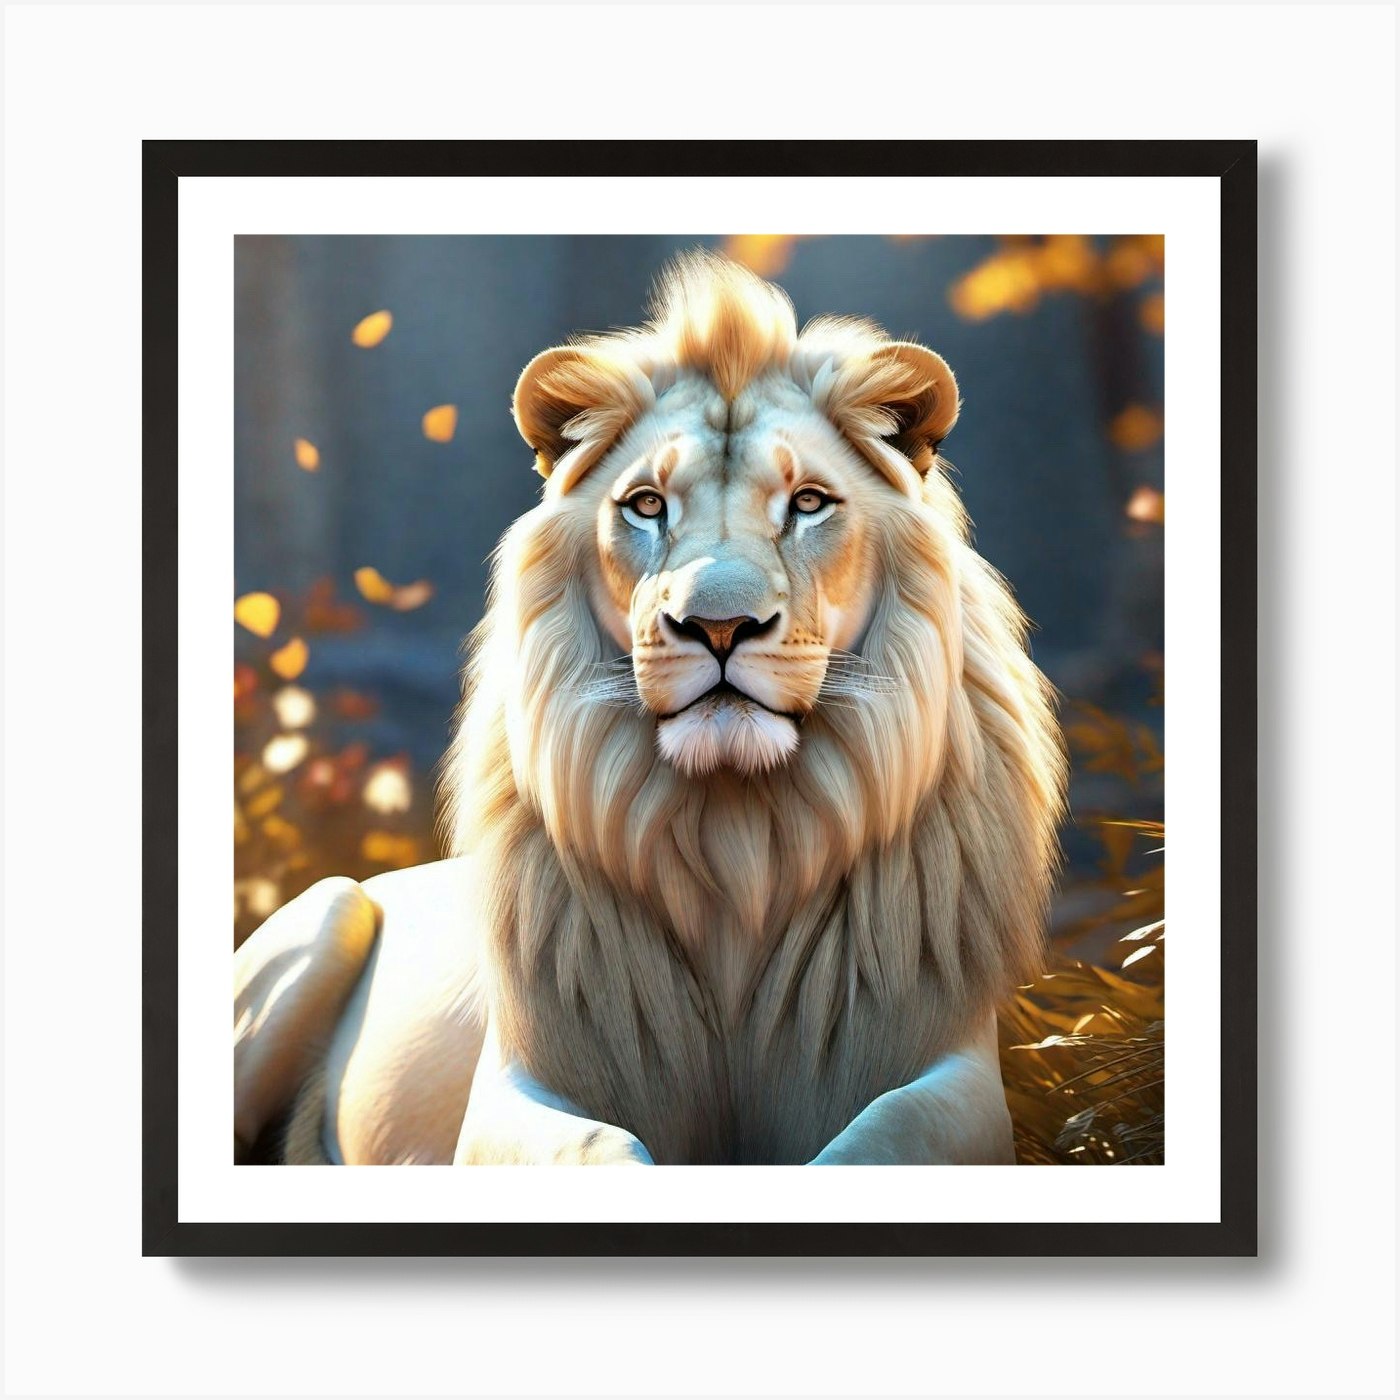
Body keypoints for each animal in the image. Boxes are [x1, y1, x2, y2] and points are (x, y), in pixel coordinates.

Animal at [234, 250, 1066, 1166]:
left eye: (809, 502)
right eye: (646, 505)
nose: (719, 625)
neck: (742, 844)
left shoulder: (956, 1067)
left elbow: (875, 1142)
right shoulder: (511, 1088)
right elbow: (602, 1147)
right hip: (321, 916)